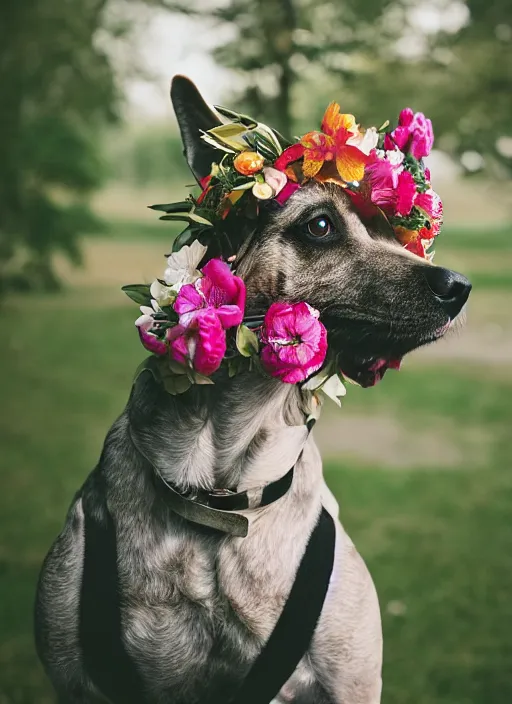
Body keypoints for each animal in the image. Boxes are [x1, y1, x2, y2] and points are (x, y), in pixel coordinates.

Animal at [34, 77, 470, 704]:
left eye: (392, 232)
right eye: (319, 226)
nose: (460, 287)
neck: (219, 491)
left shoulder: (352, 681)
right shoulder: (77, 681)